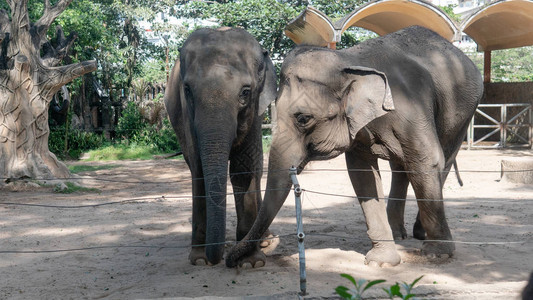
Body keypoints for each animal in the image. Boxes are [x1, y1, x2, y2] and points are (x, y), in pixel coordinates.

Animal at [164, 28, 276, 266]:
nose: (222, 259)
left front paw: (251, 262)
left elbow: (243, 169)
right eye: (187, 90)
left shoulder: (255, 113)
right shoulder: (187, 117)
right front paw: (199, 260)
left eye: (245, 92)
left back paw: (265, 241)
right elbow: (198, 169)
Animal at [224, 27, 482, 268]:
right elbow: (362, 175)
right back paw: (398, 233)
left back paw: (423, 237)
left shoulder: (411, 108)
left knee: (442, 158)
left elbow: (428, 160)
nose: (231, 260)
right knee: (402, 167)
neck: (347, 61)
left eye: (303, 118)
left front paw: (437, 255)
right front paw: (381, 262)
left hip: (464, 111)